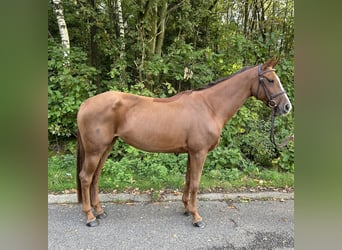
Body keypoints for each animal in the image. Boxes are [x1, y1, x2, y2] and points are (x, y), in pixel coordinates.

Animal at [77, 58, 292, 229]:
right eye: (271, 80)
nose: (286, 107)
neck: (210, 106)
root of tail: (85, 104)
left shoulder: (191, 152)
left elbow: (188, 180)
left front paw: (187, 208)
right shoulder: (199, 152)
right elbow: (196, 183)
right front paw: (197, 217)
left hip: (106, 148)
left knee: (95, 178)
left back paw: (99, 211)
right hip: (95, 151)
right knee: (86, 178)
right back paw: (90, 217)